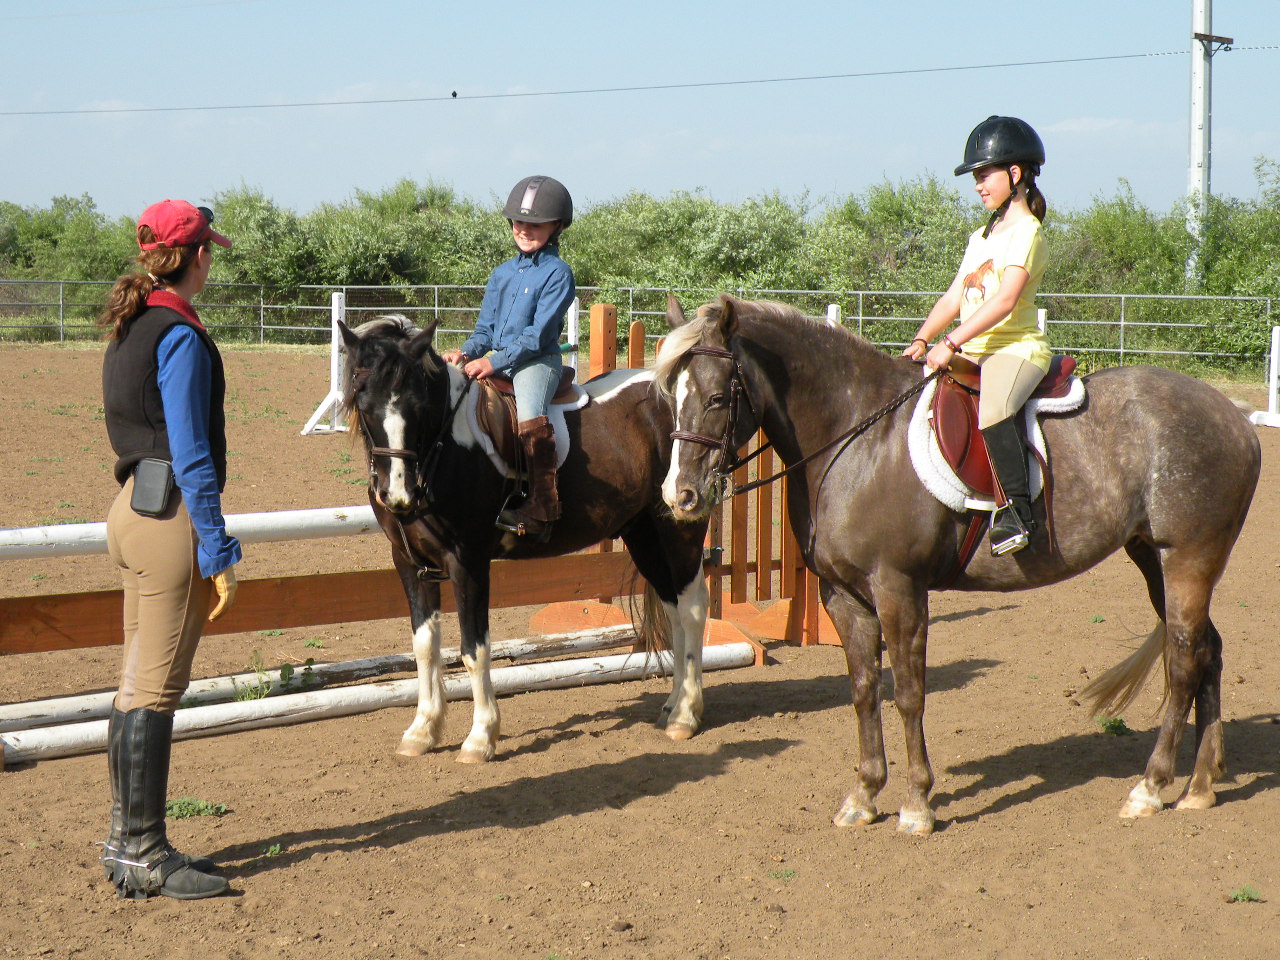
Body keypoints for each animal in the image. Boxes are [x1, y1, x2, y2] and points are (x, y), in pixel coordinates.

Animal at [340, 317, 711, 768]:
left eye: (419, 404)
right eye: (363, 400)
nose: (398, 494)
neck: (445, 449)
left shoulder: (468, 561)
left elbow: (473, 648)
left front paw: (480, 737)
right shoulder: (409, 561)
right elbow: (425, 646)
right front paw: (422, 731)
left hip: (679, 529)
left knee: (692, 609)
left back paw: (686, 715)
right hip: (644, 535)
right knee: (674, 611)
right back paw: (672, 706)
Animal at [660, 293, 1259, 834]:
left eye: (717, 397)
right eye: (671, 399)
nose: (680, 496)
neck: (855, 438)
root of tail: (1236, 420)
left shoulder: (899, 589)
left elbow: (907, 692)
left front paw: (917, 805)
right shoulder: (842, 596)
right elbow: (863, 690)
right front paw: (864, 796)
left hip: (1189, 558)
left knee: (1183, 659)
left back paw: (1150, 788)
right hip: (1153, 558)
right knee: (1207, 650)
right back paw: (1200, 787)